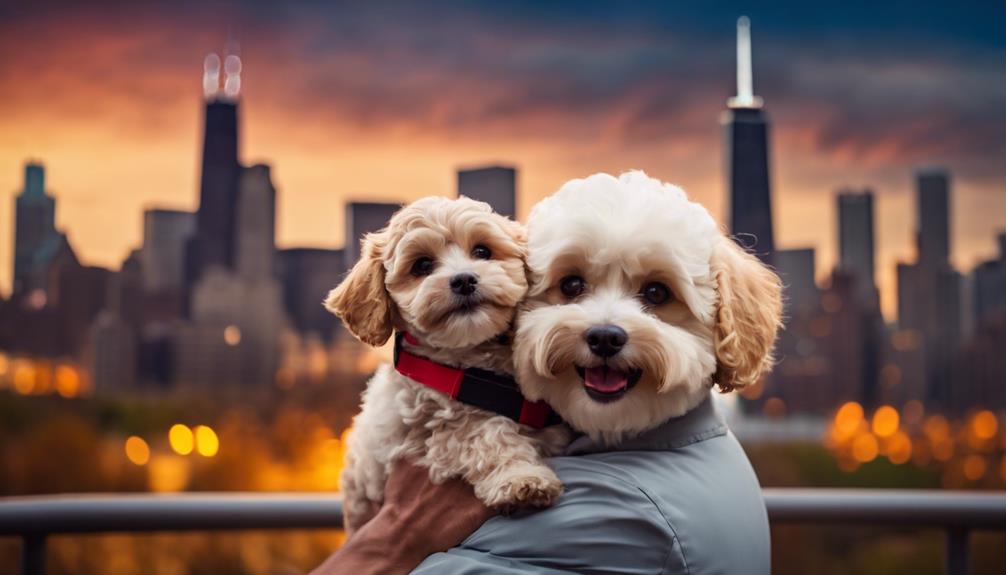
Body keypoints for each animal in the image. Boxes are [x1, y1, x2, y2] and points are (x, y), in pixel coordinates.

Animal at [327, 197, 567, 534]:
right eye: (422, 266)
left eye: (482, 251)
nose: (464, 280)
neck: (473, 366)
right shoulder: (428, 430)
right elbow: (485, 435)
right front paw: (521, 477)